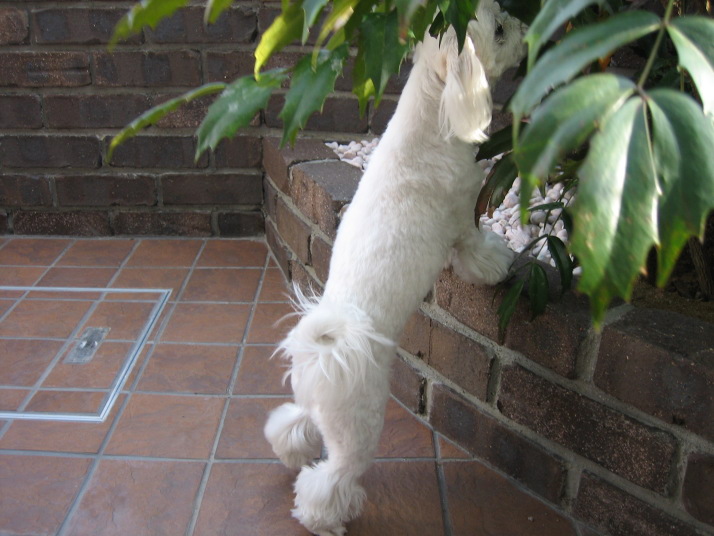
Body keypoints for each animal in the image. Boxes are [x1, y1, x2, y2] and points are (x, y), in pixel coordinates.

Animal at [265, 2, 526, 534]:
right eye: (500, 29)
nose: (528, 30)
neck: (431, 119)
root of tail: (327, 347)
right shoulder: (462, 219)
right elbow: (477, 251)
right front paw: (500, 263)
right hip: (359, 426)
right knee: (335, 476)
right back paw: (324, 517)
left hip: (313, 404)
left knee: (296, 423)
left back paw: (290, 450)